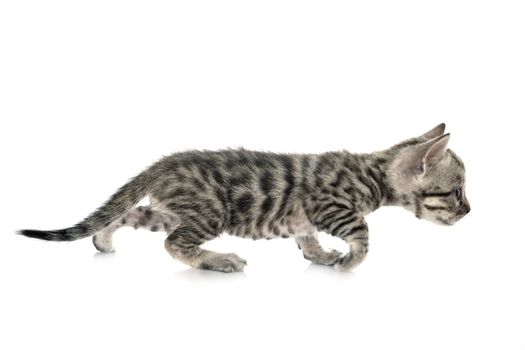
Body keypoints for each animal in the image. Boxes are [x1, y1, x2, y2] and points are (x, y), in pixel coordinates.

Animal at [18, 123, 468, 274]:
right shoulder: (330, 206)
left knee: (128, 214)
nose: (468, 210)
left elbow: (306, 237)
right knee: (173, 244)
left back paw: (104, 239)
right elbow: (363, 234)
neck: (374, 171)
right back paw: (216, 261)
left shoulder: (305, 218)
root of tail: (165, 163)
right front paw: (350, 261)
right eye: (457, 191)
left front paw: (320, 255)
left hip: (172, 211)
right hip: (211, 212)